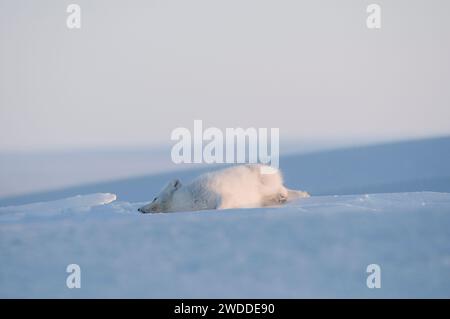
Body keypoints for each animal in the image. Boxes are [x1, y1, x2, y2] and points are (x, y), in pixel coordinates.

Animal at [137, 165, 310, 215]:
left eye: (154, 198)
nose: (139, 209)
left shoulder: (219, 194)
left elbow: (222, 204)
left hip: (265, 184)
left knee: (284, 190)